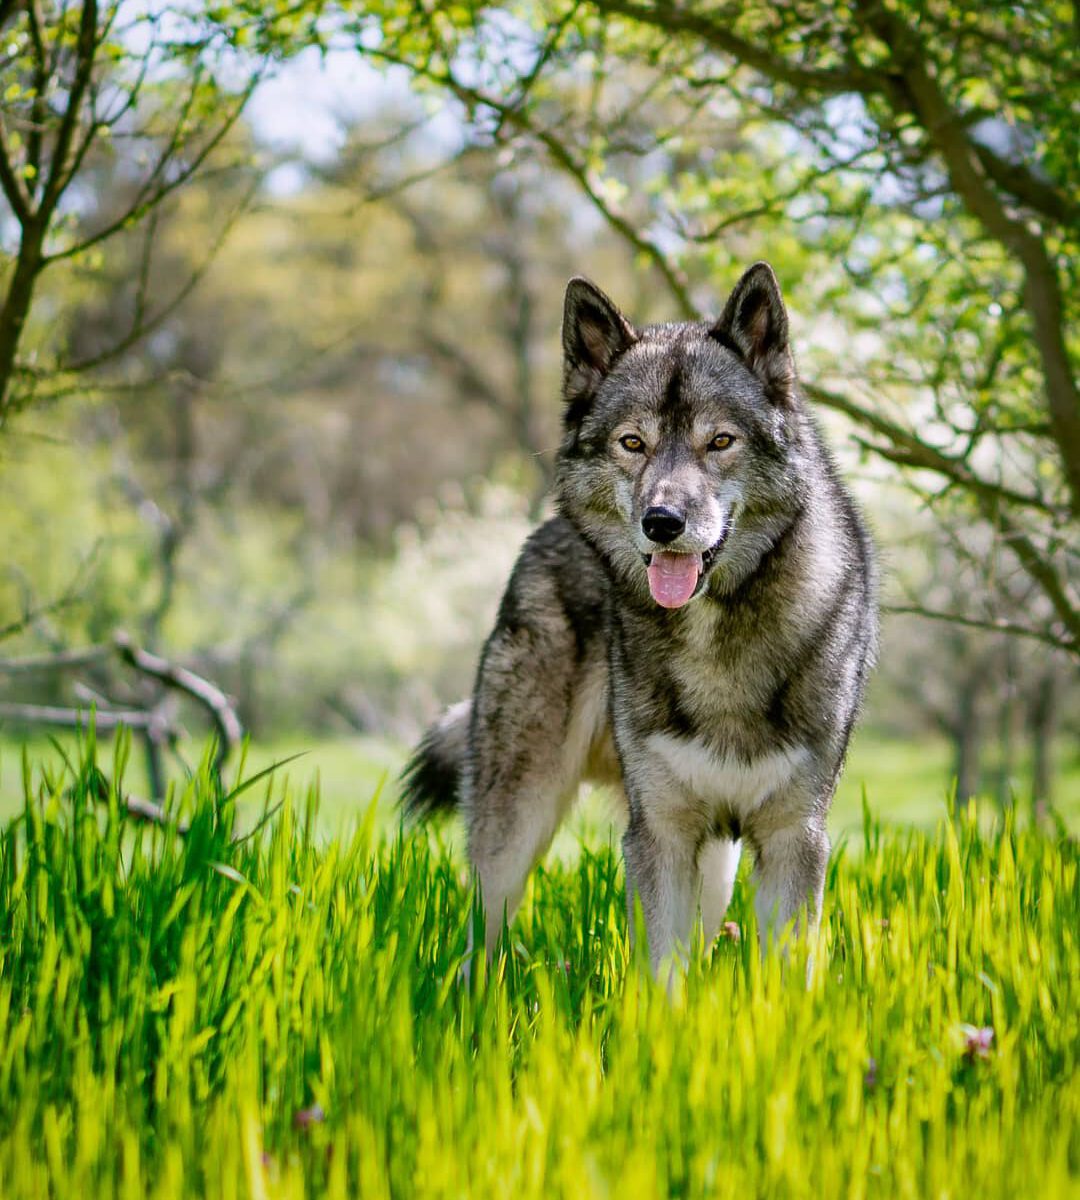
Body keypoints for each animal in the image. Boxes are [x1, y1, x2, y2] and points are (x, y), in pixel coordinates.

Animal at [400, 265, 873, 974]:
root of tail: (541, 536)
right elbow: (663, 975)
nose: (662, 522)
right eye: (633, 443)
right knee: (483, 933)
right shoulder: (659, 835)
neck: (714, 637)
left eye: (720, 441)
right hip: (518, 819)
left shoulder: (793, 838)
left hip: (718, 863)